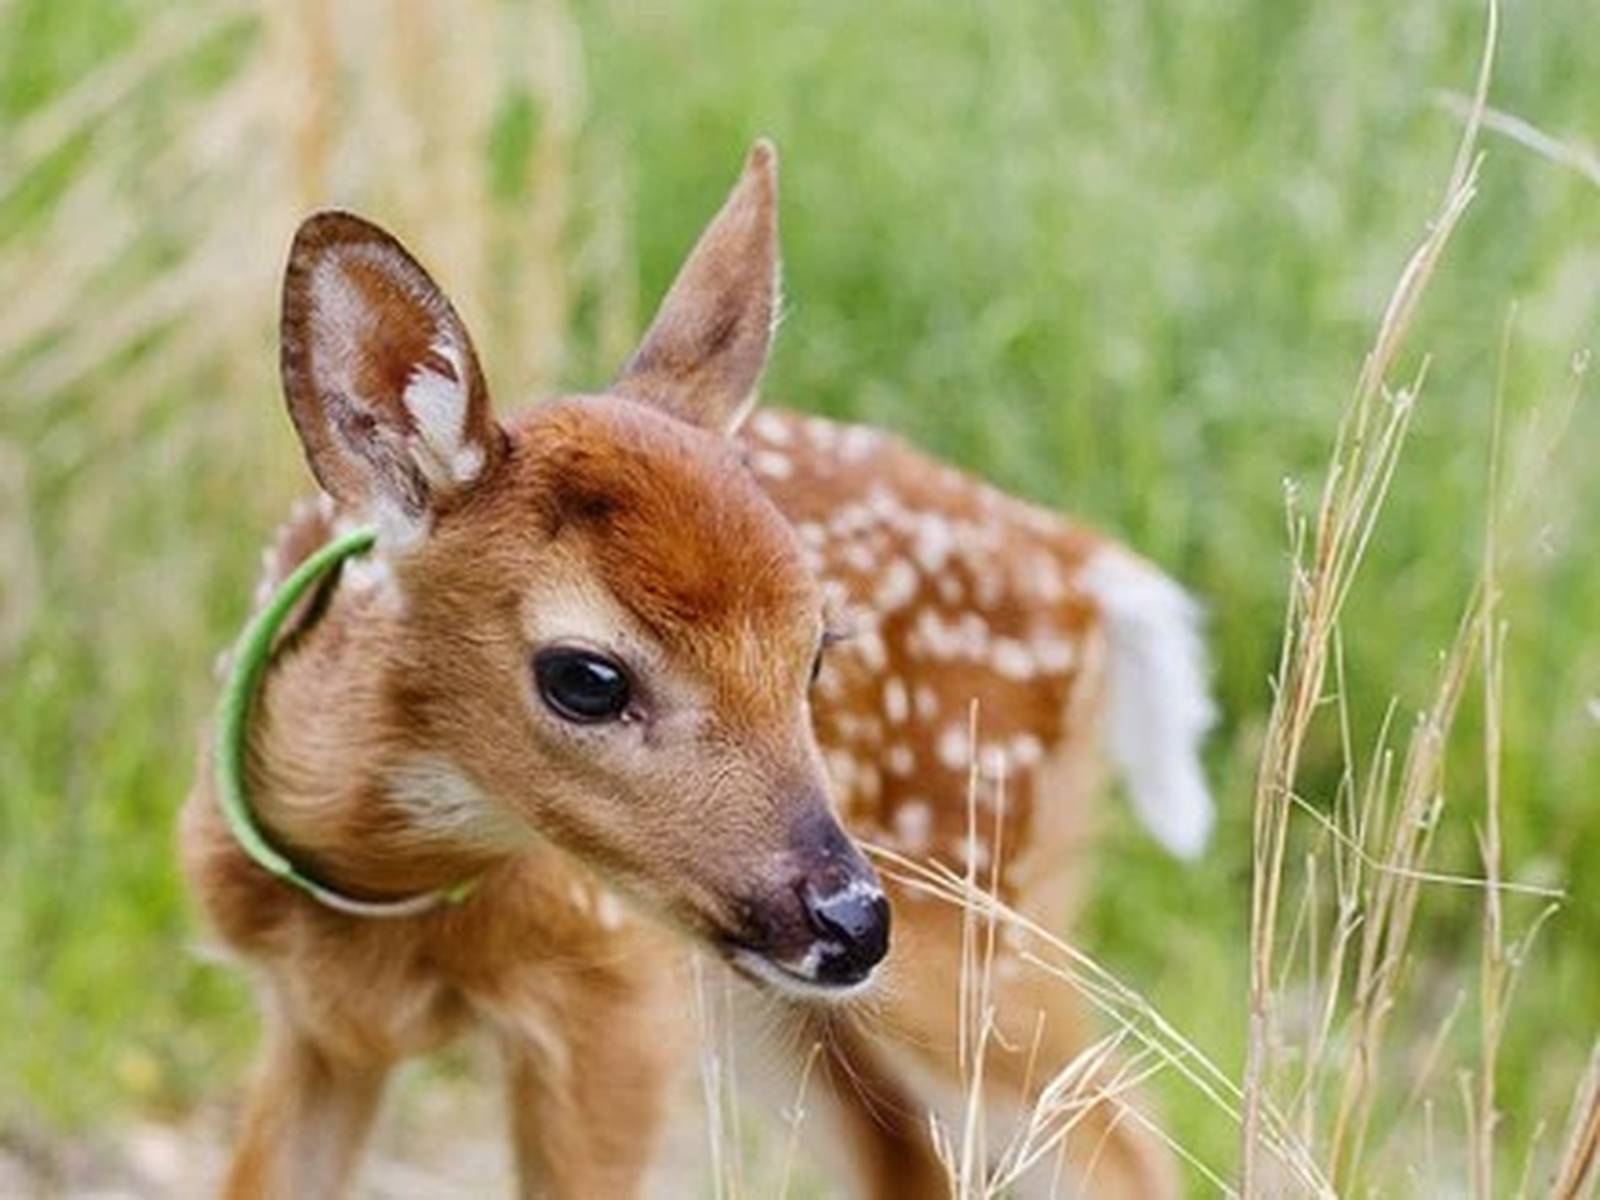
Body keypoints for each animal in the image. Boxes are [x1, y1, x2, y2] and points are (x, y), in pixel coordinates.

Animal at [180, 139, 1215, 1199]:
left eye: (815, 651)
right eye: (587, 679)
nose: (852, 919)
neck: (377, 898)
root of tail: (1089, 564)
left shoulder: (613, 1008)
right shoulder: (316, 1025)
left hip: (968, 917)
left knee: (1123, 1135)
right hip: (780, 998)